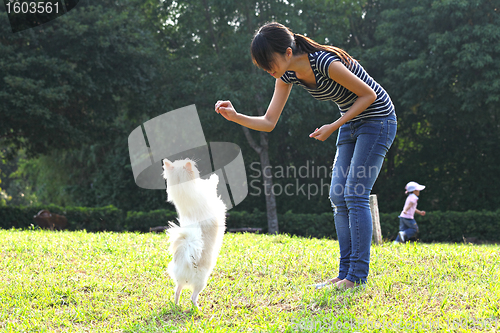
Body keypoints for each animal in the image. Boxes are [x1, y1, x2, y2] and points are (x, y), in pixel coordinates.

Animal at [162, 158, 227, 308]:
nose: (189, 160)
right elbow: (212, 185)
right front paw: (214, 177)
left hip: (180, 281)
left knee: (177, 291)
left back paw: (176, 305)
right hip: (202, 281)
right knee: (193, 296)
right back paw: (197, 308)